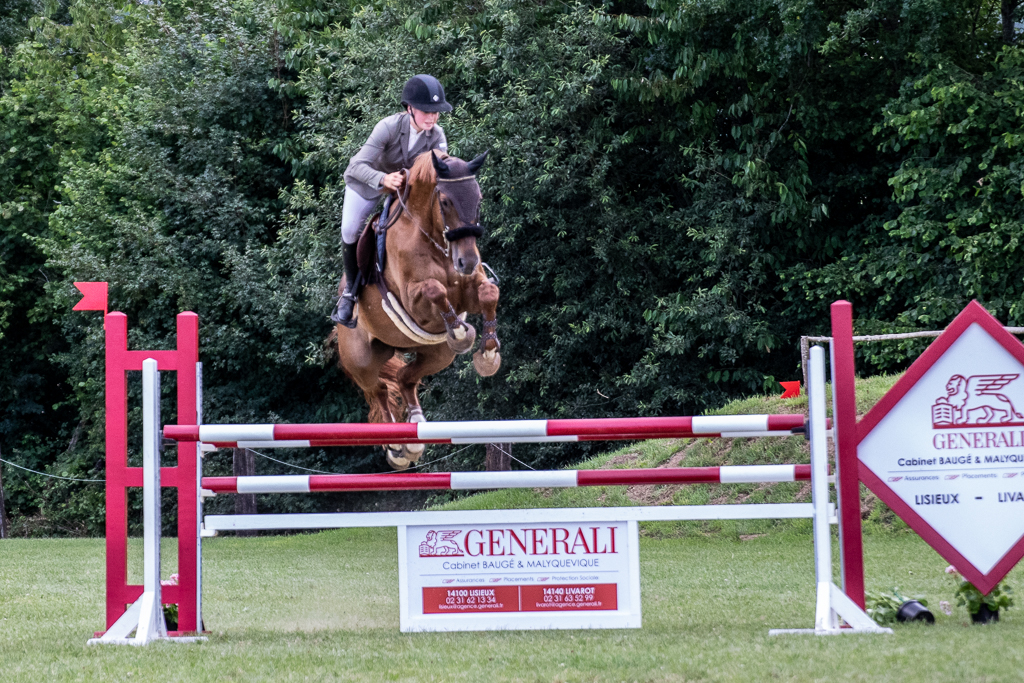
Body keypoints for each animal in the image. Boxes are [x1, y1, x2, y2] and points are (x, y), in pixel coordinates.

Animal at [332, 150, 501, 470]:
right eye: (445, 201)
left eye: (479, 198)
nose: (468, 261)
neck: (436, 242)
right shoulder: (414, 302)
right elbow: (435, 290)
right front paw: (460, 333)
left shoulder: (468, 290)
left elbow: (488, 292)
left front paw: (488, 352)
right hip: (360, 359)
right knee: (378, 390)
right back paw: (398, 446)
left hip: (438, 354)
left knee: (405, 377)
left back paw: (414, 432)